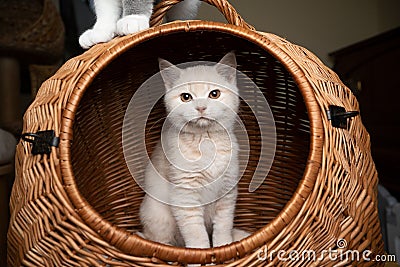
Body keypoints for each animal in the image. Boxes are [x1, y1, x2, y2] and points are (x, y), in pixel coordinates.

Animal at [139, 52, 248, 249]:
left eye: (214, 94)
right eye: (186, 97)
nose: (201, 107)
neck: (206, 141)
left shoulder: (227, 193)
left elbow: (223, 226)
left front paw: (224, 246)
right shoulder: (184, 196)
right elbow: (196, 234)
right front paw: (201, 253)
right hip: (157, 214)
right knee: (159, 240)